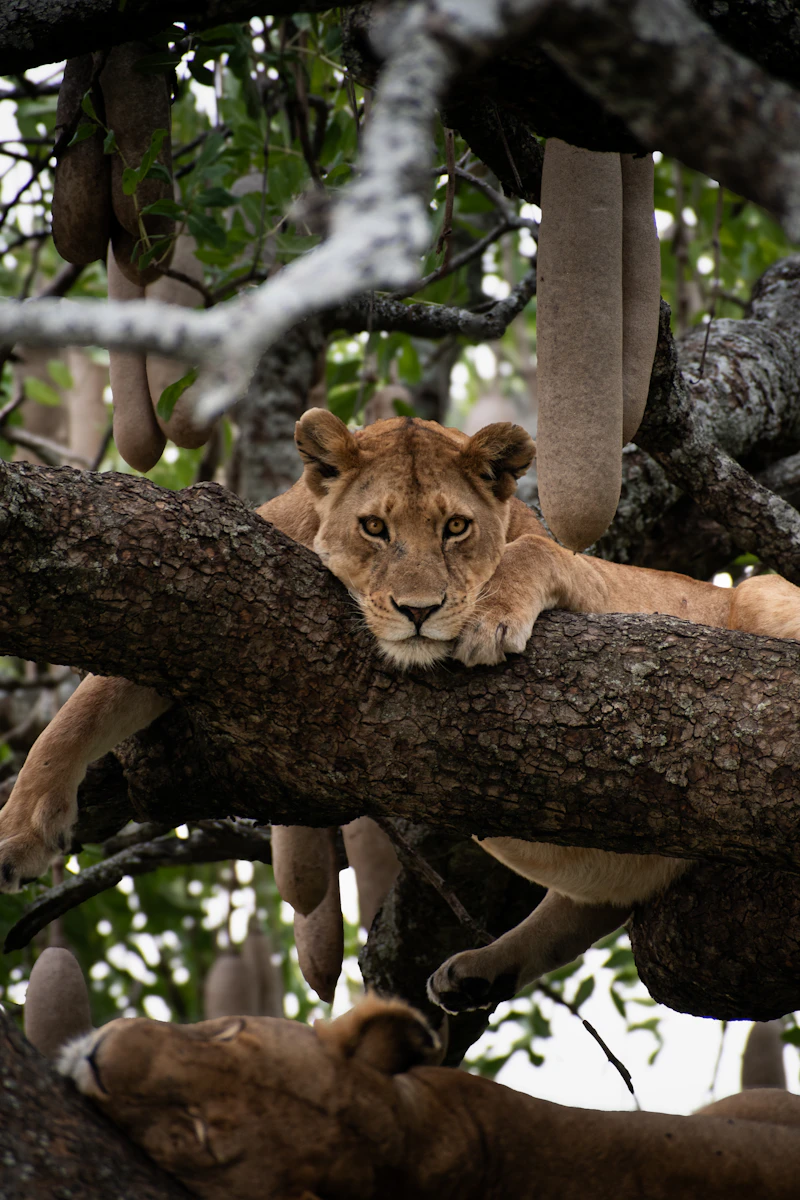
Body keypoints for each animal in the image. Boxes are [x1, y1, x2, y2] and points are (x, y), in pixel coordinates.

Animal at [3, 410, 800, 1014]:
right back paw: (478, 970)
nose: (419, 611)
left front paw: (489, 618)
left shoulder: (603, 589)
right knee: (588, 905)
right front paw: (22, 831)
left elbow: (534, 556)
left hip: (759, 597)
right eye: (375, 528)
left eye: (455, 528)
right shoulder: (203, 602)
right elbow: (88, 702)